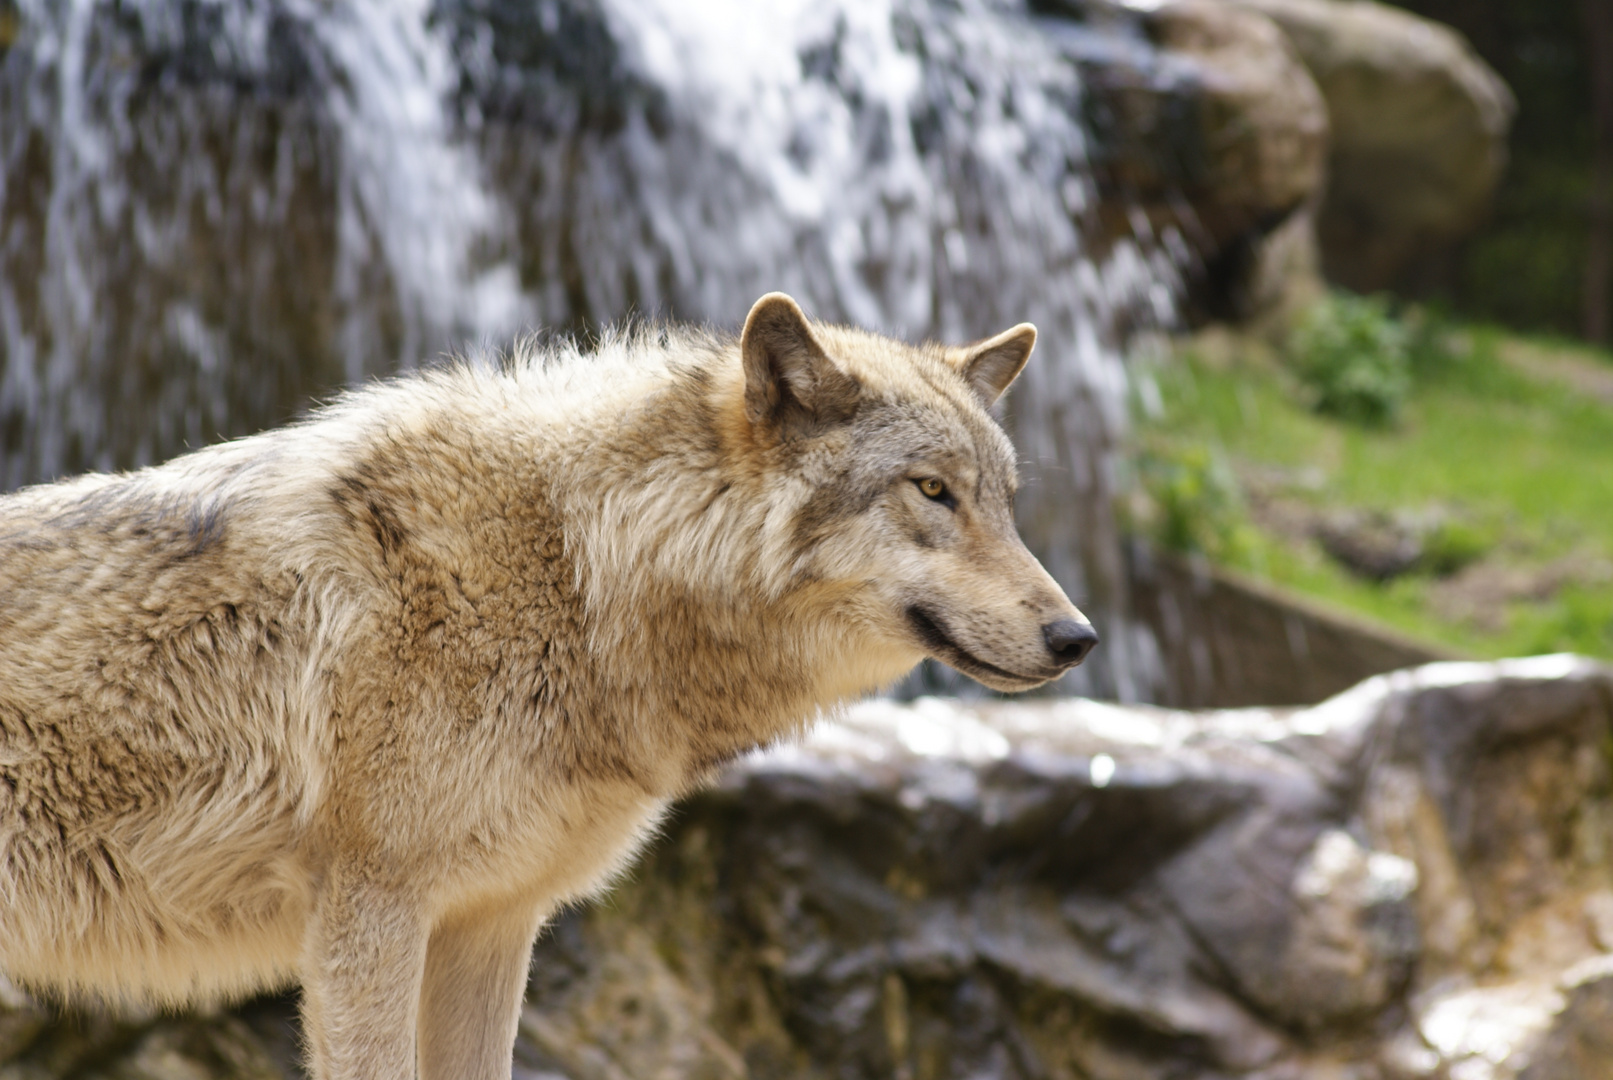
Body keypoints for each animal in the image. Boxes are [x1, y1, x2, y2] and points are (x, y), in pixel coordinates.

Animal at [0, 291, 1096, 1076]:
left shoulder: (491, 923)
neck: (574, 568)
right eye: (931, 492)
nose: (1076, 637)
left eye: (1004, 503)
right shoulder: (370, 909)